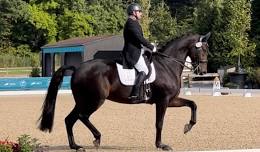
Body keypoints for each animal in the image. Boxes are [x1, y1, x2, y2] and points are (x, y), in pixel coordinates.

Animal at [38, 32, 210, 151]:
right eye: (202, 50)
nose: (202, 71)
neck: (167, 65)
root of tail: (77, 68)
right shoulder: (163, 100)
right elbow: (159, 123)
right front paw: (161, 145)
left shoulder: (171, 100)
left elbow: (193, 104)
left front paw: (188, 126)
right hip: (95, 100)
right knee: (82, 116)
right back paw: (96, 138)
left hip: (82, 101)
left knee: (70, 119)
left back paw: (76, 146)